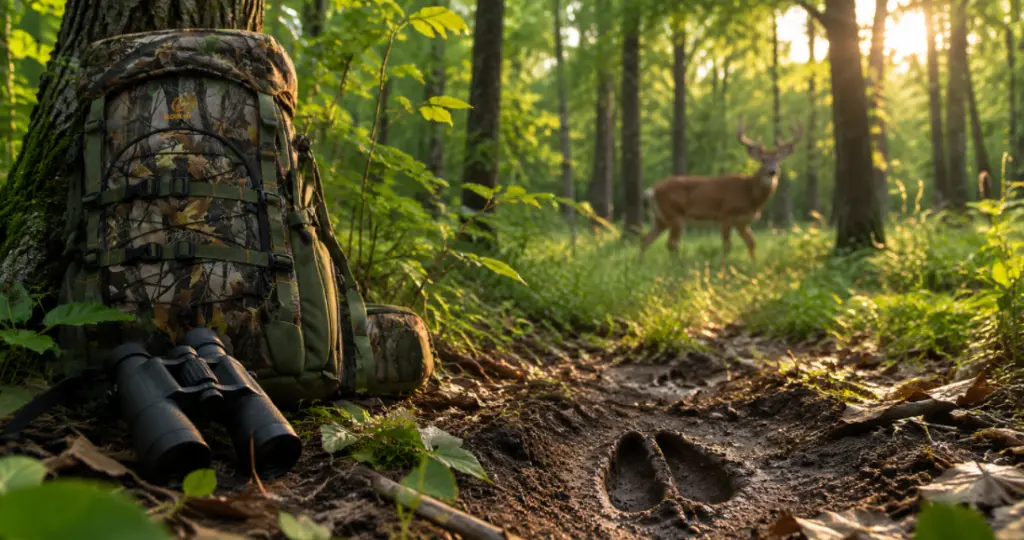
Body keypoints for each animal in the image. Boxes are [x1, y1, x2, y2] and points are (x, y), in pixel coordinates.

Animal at [638, 119, 803, 268]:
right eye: (763, 160)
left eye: (778, 160)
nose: (772, 172)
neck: (750, 194)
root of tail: (650, 190)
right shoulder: (726, 215)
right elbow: (727, 245)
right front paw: (723, 267)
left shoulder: (742, 222)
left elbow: (752, 243)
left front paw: (755, 265)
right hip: (674, 215)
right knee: (671, 243)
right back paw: (677, 266)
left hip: (660, 219)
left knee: (646, 239)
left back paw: (642, 265)